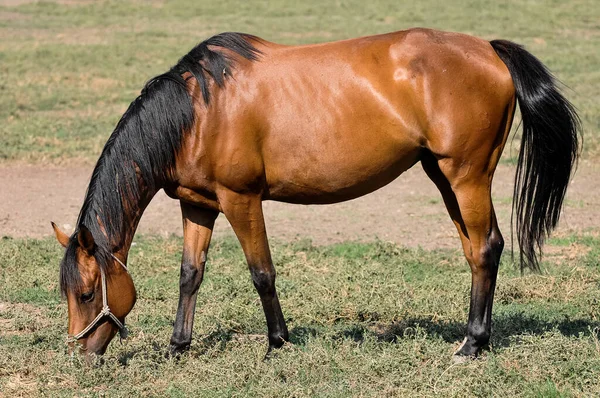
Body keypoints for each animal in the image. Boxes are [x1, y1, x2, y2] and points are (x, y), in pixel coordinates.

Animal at [52, 27, 580, 358]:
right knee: (476, 251)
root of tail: (488, 49)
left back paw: (472, 345)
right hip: (443, 175)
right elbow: (190, 275)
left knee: (487, 247)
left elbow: (261, 273)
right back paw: (475, 339)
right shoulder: (197, 204)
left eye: (86, 292)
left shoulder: (240, 200)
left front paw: (277, 343)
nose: (82, 353)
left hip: (467, 175)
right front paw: (178, 346)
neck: (198, 110)